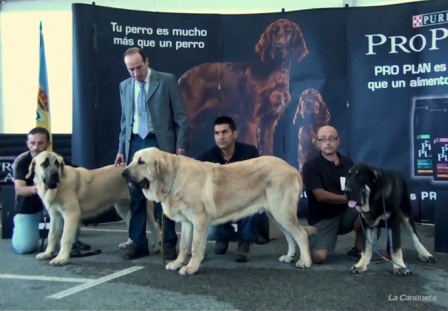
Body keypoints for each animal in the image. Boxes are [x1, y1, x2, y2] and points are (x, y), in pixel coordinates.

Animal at [26, 151, 161, 266]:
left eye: (57, 164)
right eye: (45, 163)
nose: (55, 174)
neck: (59, 186)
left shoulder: (71, 214)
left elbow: (65, 237)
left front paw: (62, 258)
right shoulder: (55, 216)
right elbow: (52, 235)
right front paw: (48, 253)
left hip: (144, 208)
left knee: (154, 226)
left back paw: (158, 246)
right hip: (122, 207)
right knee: (131, 222)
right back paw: (129, 243)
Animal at [121, 147, 314, 276]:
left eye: (141, 162)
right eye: (132, 159)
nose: (122, 173)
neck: (171, 180)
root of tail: (293, 169)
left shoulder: (199, 220)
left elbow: (195, 247)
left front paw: (191, 267)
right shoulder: (187, 223)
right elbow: (184, 246)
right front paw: (176, 263)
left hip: (282, 212)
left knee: (301, 234)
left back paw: (305, 261)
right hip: (275, 215)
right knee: (290, 237)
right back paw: (289, 257)